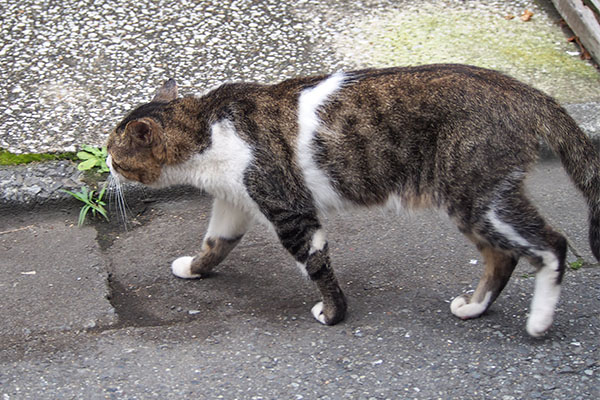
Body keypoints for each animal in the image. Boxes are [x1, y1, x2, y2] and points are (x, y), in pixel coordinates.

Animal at [108, 65, 600, 338]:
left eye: (114, 151)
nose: (107, 165)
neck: (207, 128)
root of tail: (523, 90)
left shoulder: (289, 210)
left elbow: (317, 265)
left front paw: (333, 314)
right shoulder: (236, 202)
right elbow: (215, 244)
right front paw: (193, 268)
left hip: (479, 198)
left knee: (553, 245)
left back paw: (539, 322)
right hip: (471, 204)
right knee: (503, 258)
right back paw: (475, 307)